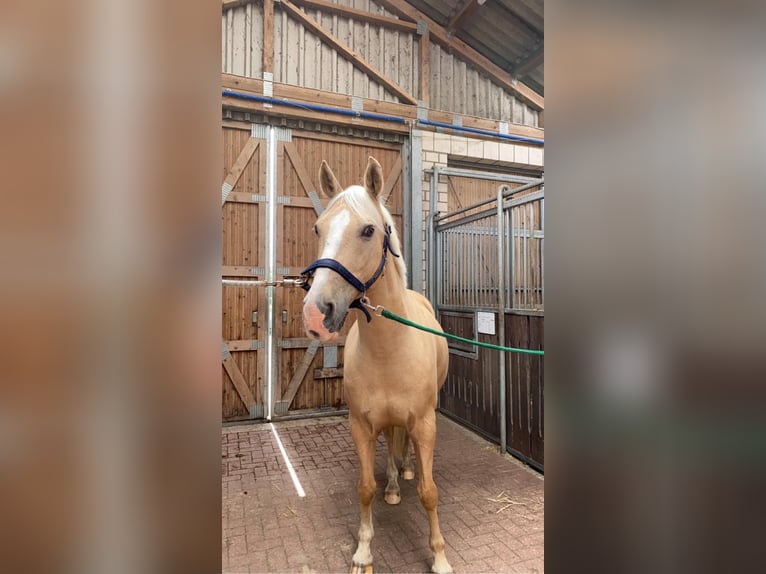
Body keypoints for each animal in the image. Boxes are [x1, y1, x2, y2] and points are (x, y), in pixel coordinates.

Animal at [300, 158, 452, 574]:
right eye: (317, 228)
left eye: (368, 230)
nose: (316, 314)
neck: (389, 348)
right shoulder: (362, 425)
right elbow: (365, 488)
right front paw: (363, 552)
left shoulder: (425, 423)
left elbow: (430, 492)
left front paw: (440, 557)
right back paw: (395, 487)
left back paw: (408, 472)